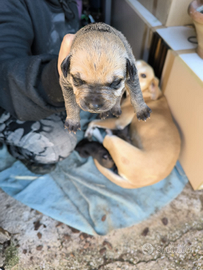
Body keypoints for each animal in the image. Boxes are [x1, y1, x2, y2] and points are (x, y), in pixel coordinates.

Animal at [85, 60, 180, 189]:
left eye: (143, 75)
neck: (146, 93)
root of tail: (137, 184)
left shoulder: (119, 122)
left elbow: (92, 122)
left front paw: (89, 131)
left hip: (113, 141)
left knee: (105, 140)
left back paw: (97, 132)